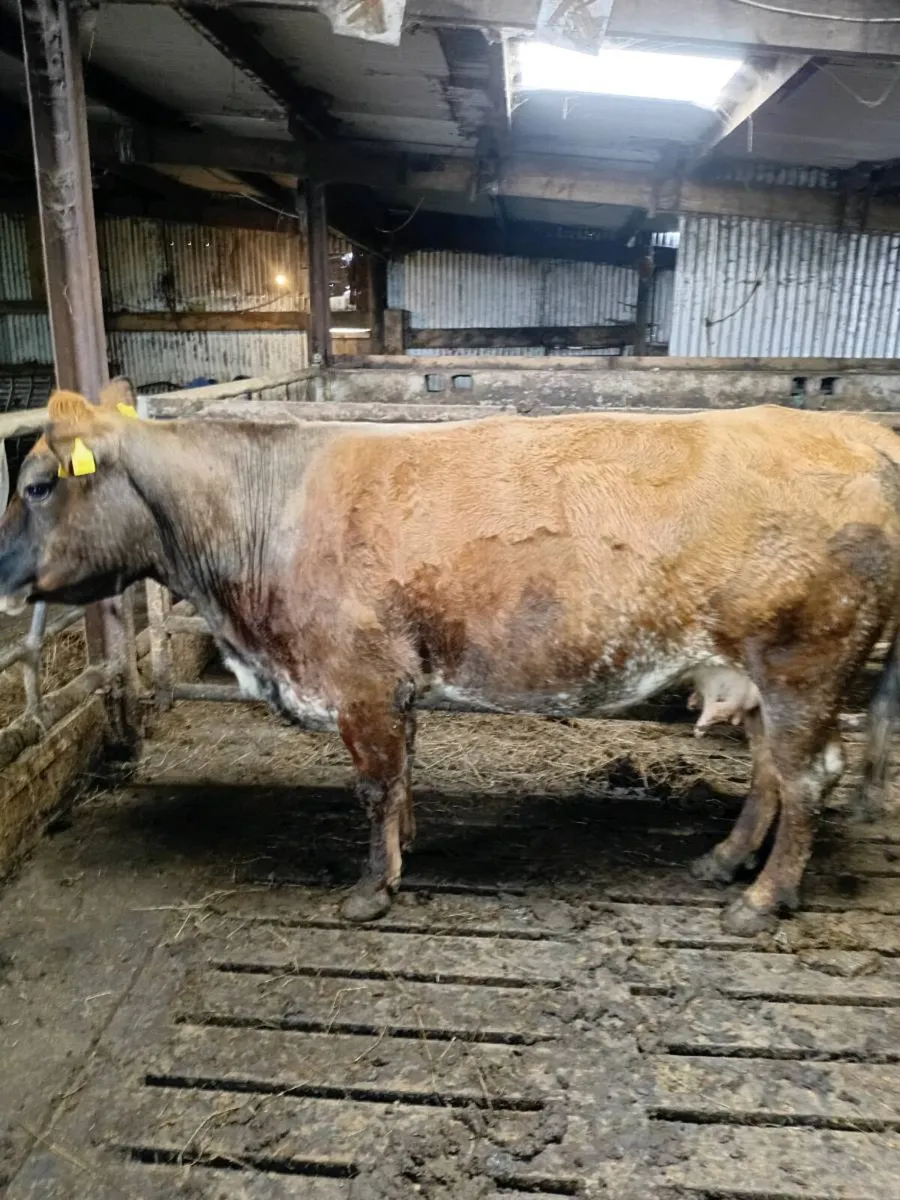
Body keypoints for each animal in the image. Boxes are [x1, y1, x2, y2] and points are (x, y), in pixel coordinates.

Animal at [1, 381, 899, 937]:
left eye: (38, 485)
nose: (0, 573)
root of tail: (862, 433)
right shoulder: (394, 683)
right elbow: (402, 775)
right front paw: (408, 848)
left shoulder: (358, 680)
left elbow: (373, 785)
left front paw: (372, 890)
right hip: (757, 676)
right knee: (771, 772)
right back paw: (724, 859)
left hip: (804, 664)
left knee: (806, 778)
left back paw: (763, 896)